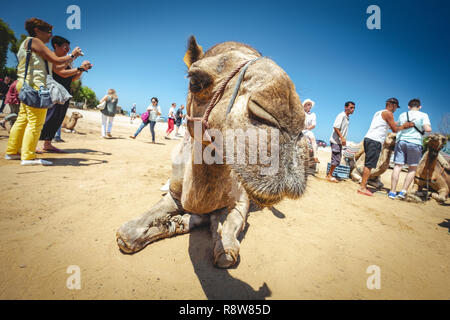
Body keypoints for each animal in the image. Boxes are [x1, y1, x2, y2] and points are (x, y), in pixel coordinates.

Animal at [115, 36, 310, 268]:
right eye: (195, 81)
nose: (289, 117)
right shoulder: (175, 195)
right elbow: (126, 235)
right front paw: (169, 223)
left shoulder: (240, 202)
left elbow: (226, 250)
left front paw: (183, 223)